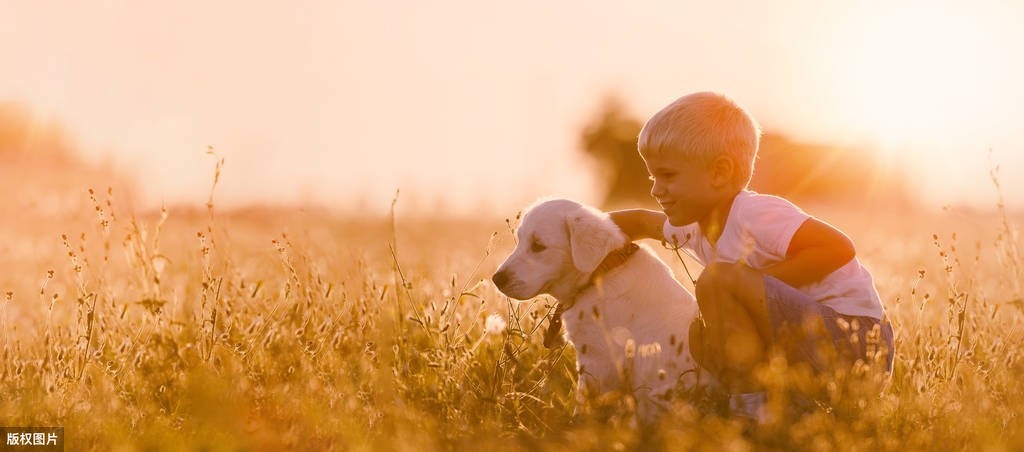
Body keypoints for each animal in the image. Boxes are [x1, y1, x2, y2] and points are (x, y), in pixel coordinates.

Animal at [493, 197, 704, 422]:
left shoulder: (598, 361)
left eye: (538, 246)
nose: (497, 279)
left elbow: (585, 404)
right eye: (520, 240)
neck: (599, 274)